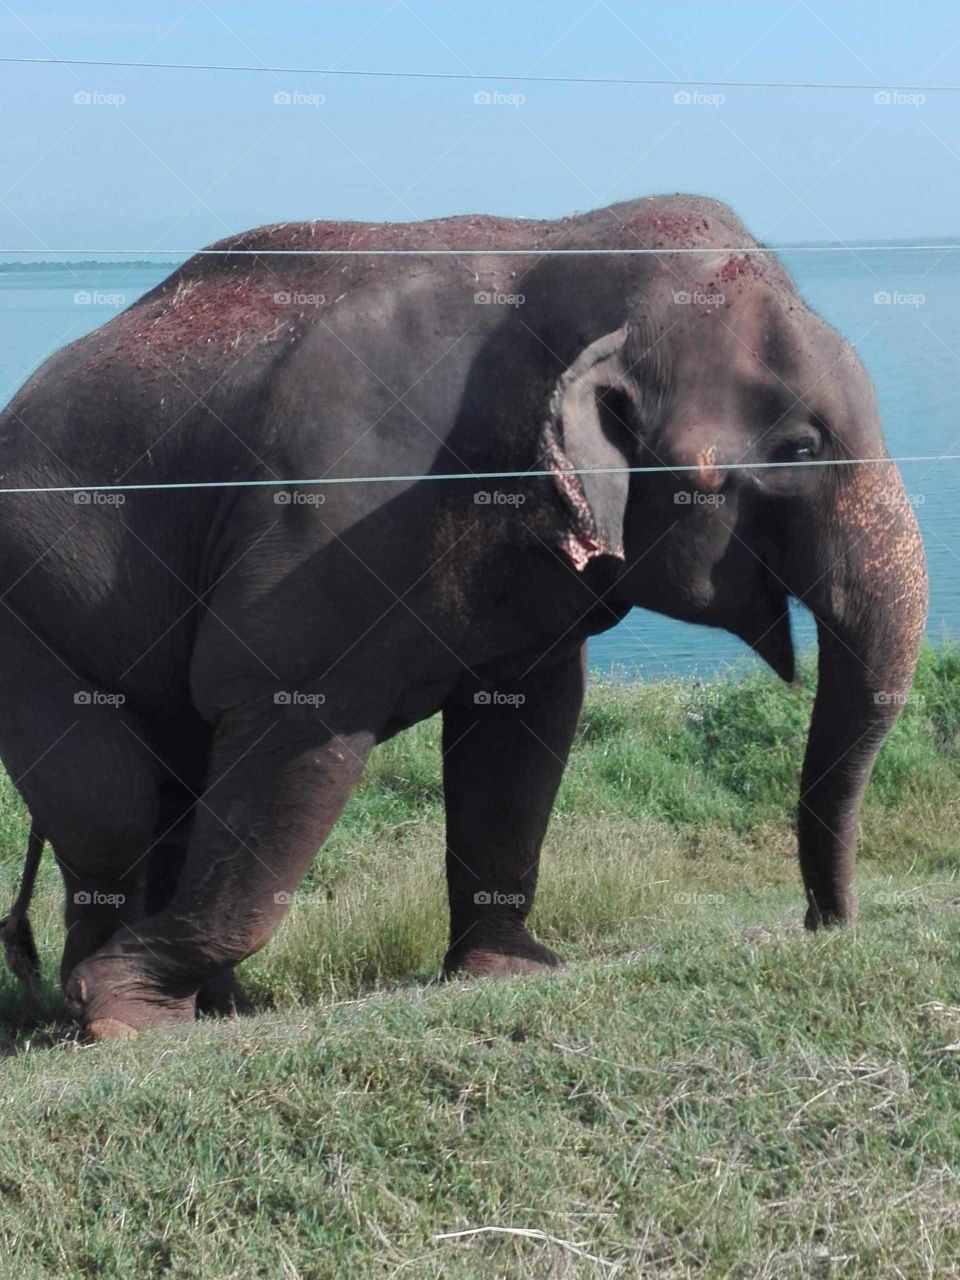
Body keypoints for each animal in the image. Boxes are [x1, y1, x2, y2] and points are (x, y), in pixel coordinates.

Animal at [0, 194, 927, 1040]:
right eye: (801, 449)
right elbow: (291, 728)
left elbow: (522, 734)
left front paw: (510, 970)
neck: (566, 250)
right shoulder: (323, 529)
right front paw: (125, 1011)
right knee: (114, 805)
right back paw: (116, 1014)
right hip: (29, 608)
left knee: (168, 788)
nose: (821, 925)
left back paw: (197, 1006)